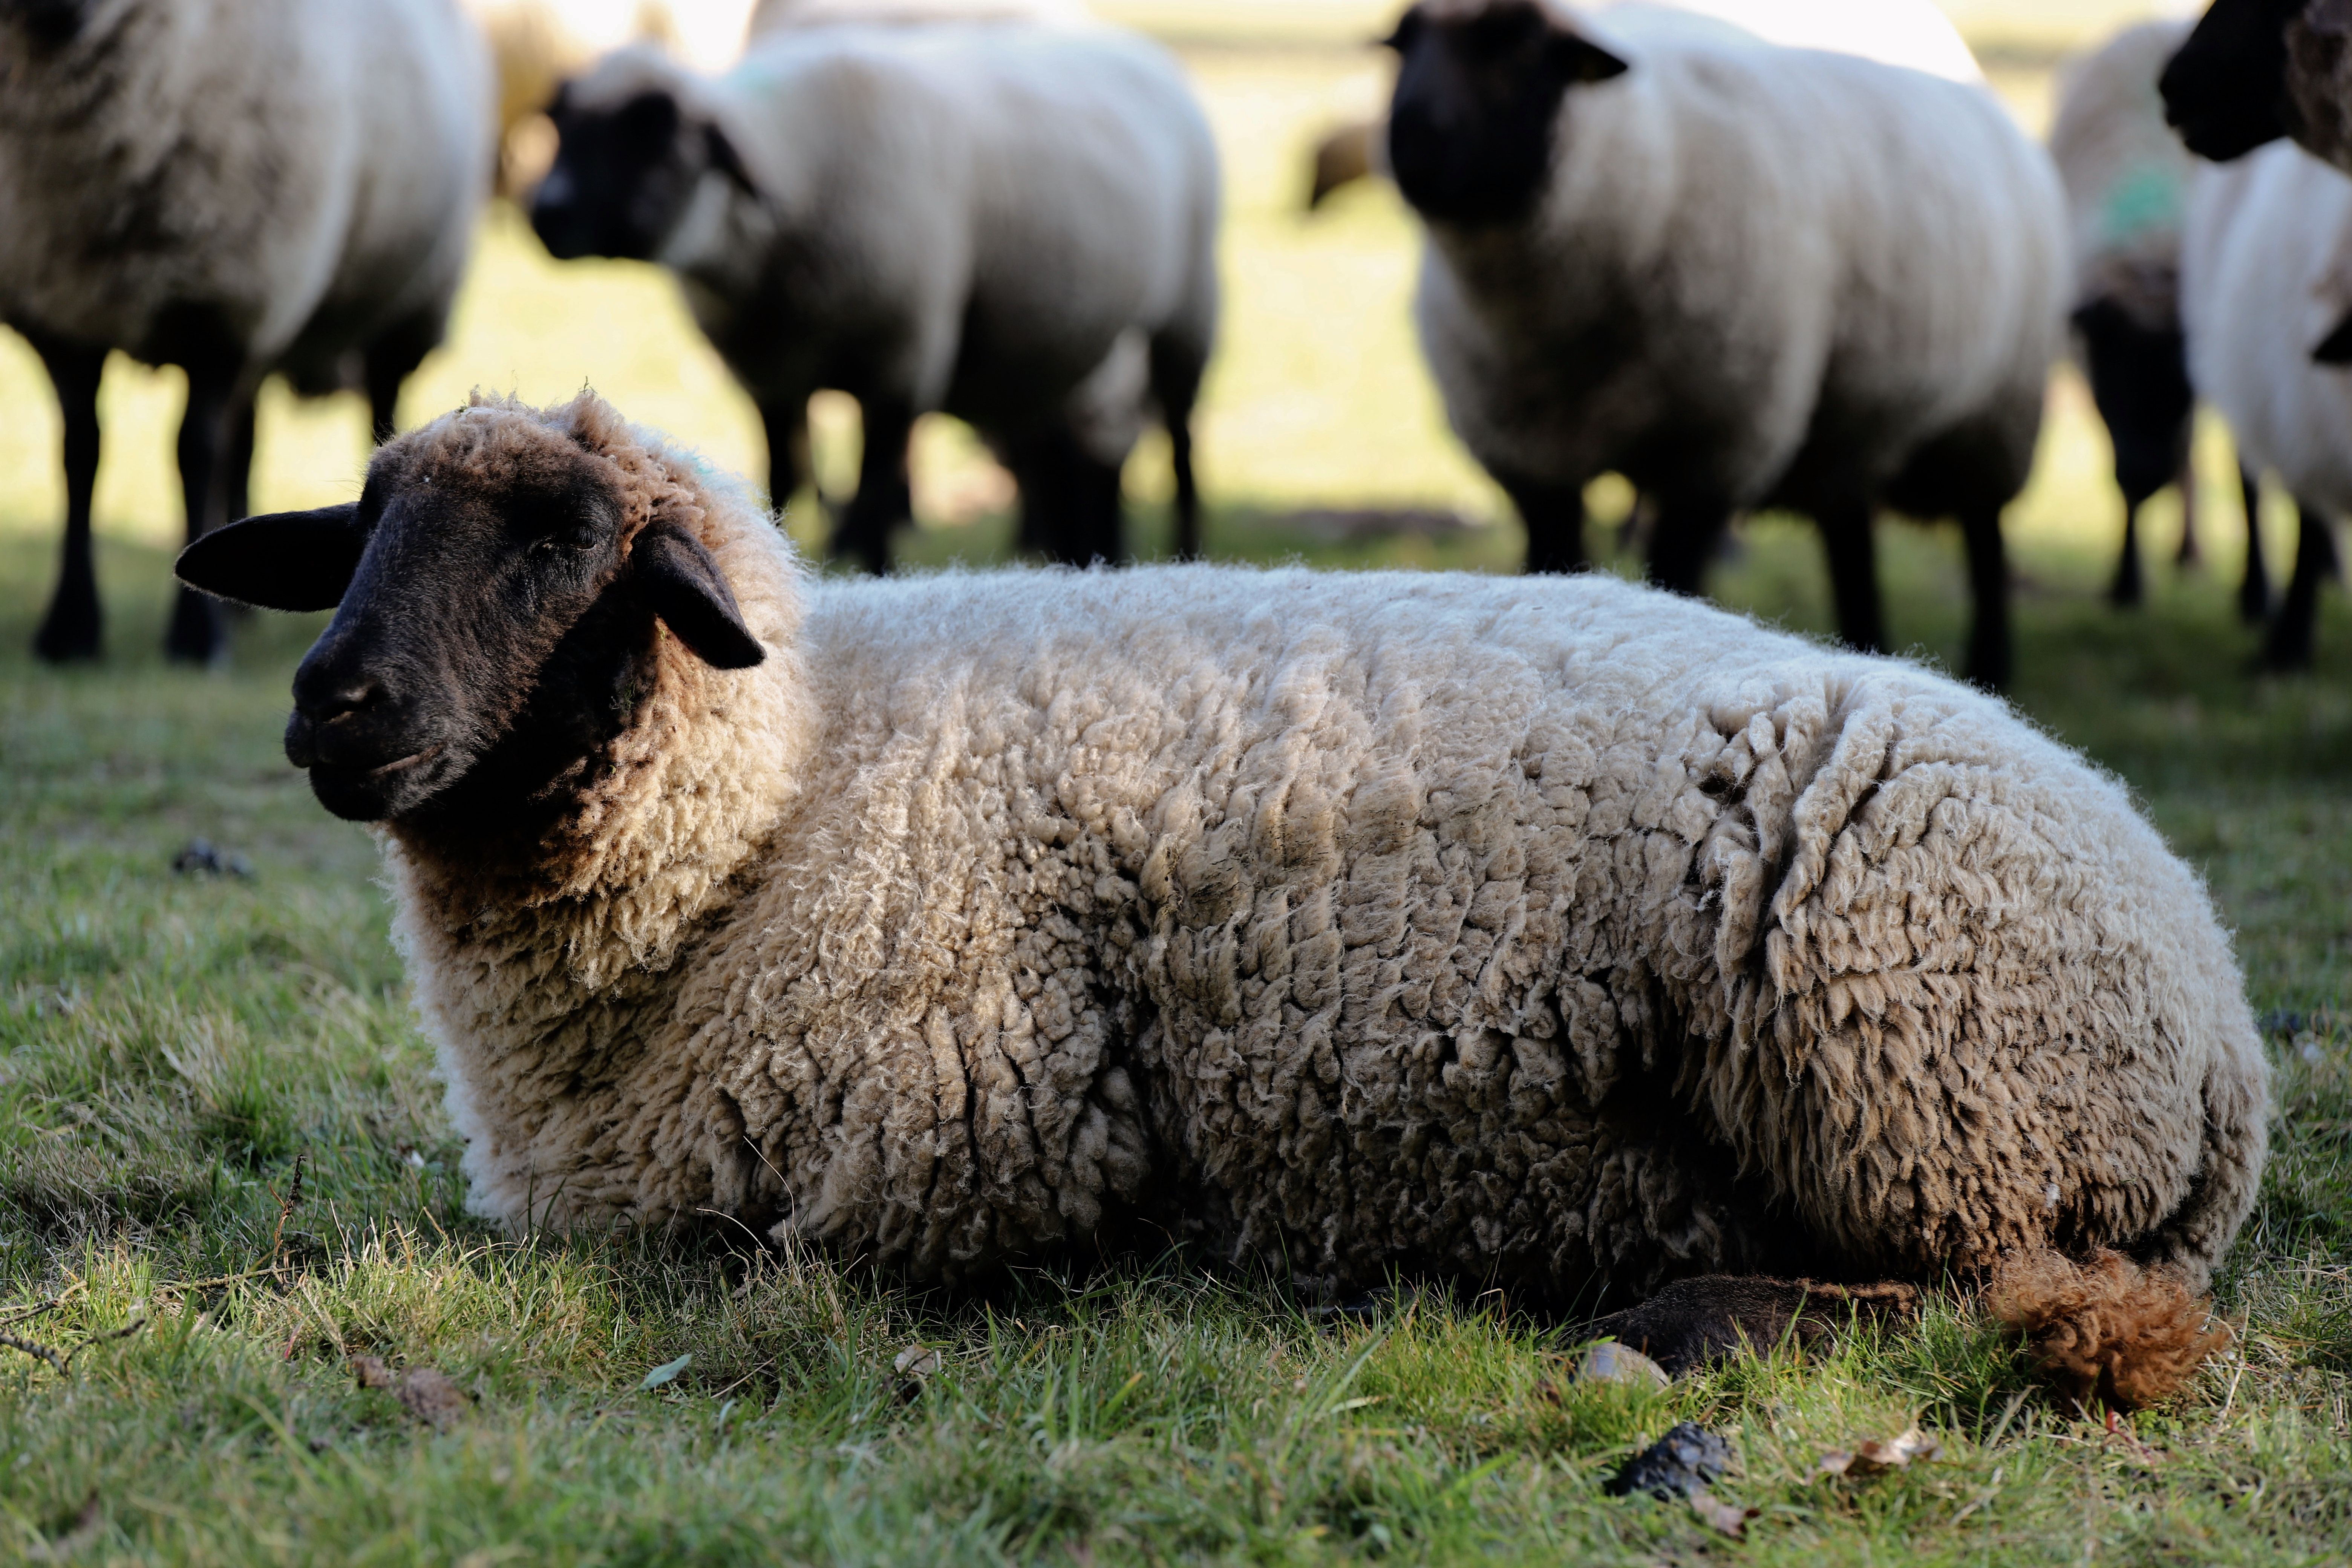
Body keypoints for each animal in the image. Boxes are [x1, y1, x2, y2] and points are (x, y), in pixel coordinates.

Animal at [0, 0, 492, 664]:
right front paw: (70, 628)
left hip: (409, 298)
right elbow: (81, 454)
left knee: (379, 407)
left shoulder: (227, 301)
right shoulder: (61, 312)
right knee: (246, 439)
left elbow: (193, 454)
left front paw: (195, 637)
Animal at [176, 388, 2267, 1401]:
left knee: (1955, 1294)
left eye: (558, 541)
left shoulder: (954, 1154)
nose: (329, 705)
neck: (787, 788)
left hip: (1916, 1095)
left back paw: (1669, 1314)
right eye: (358, 528)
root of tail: (2227, 1040)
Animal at [529, 21, 1219, 571]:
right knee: (1079, 449)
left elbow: (877, 487)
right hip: (1052, 348)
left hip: (1184, 314)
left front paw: (876, 571)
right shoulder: (772, 376)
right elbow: (786, 477)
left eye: (651, 136)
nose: (545, 214)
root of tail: (1135, 45)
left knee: (1179, 442)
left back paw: (1186, 552)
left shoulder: (904, 355)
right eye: (562, 127)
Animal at [1384, 0, 2068, 691]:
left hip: (1998, 412)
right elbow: (1553, 561)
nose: (1409, 142)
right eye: (1401, 45)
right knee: (1850, 536)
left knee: (1985, 537)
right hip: (1847, 425)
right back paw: (1869, 649)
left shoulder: (1716, 445)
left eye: (1519, 48)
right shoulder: (1528, 457)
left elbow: (1676, 575)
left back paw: (1989, 671)